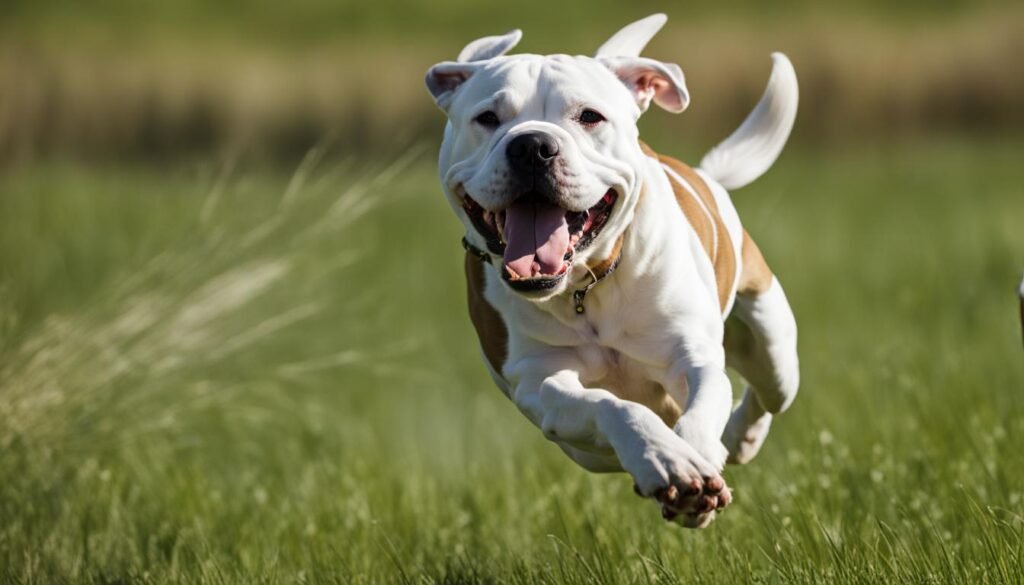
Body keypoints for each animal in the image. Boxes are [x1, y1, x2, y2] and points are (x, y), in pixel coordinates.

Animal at [423, 13, 798, 528]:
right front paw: (666, 460)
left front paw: (697, 458)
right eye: (487, 118)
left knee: (768, 391)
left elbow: (703, 402)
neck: (585, 287)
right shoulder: (541, 382)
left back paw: (741, 436)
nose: (532, 145)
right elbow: (610, 406)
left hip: (773, 347)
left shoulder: (692, 356)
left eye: (589, 116)